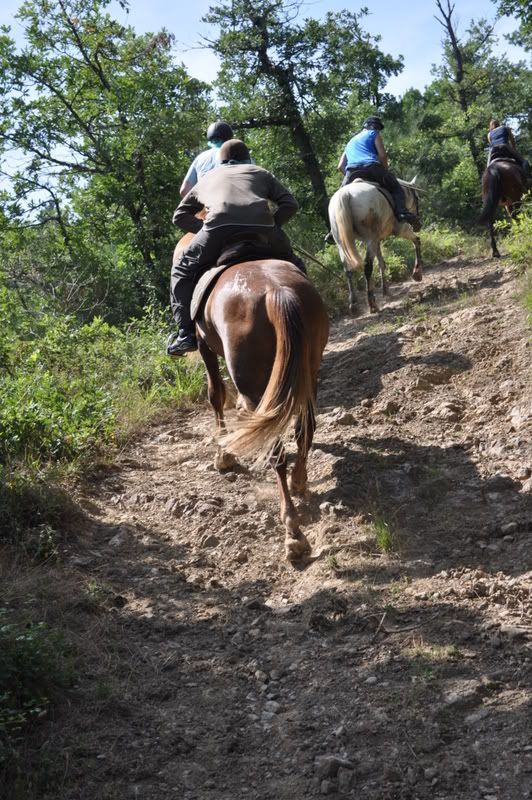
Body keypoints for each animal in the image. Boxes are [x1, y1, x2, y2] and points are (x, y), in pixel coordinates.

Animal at [172, 238, 328, 564]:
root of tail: (278, 293)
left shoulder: (204, 344)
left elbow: (215, 393)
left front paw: (223, 454)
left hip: (257, 386)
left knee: (276, 452)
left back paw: (293, 534)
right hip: (308, 372)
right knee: (305, 428)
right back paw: (299, 481)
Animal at [328, 180, 424, 314]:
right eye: (417, 199)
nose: (418, 224)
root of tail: (346, 194)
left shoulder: (377, 240)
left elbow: (381, 263)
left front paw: (386, 290)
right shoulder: (400, 229)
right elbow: (416, 241)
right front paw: (417, 273)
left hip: (342, 244)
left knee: (348, 269)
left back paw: (354, 304)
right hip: (370, 239)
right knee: (367, 267)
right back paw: (372, 304)